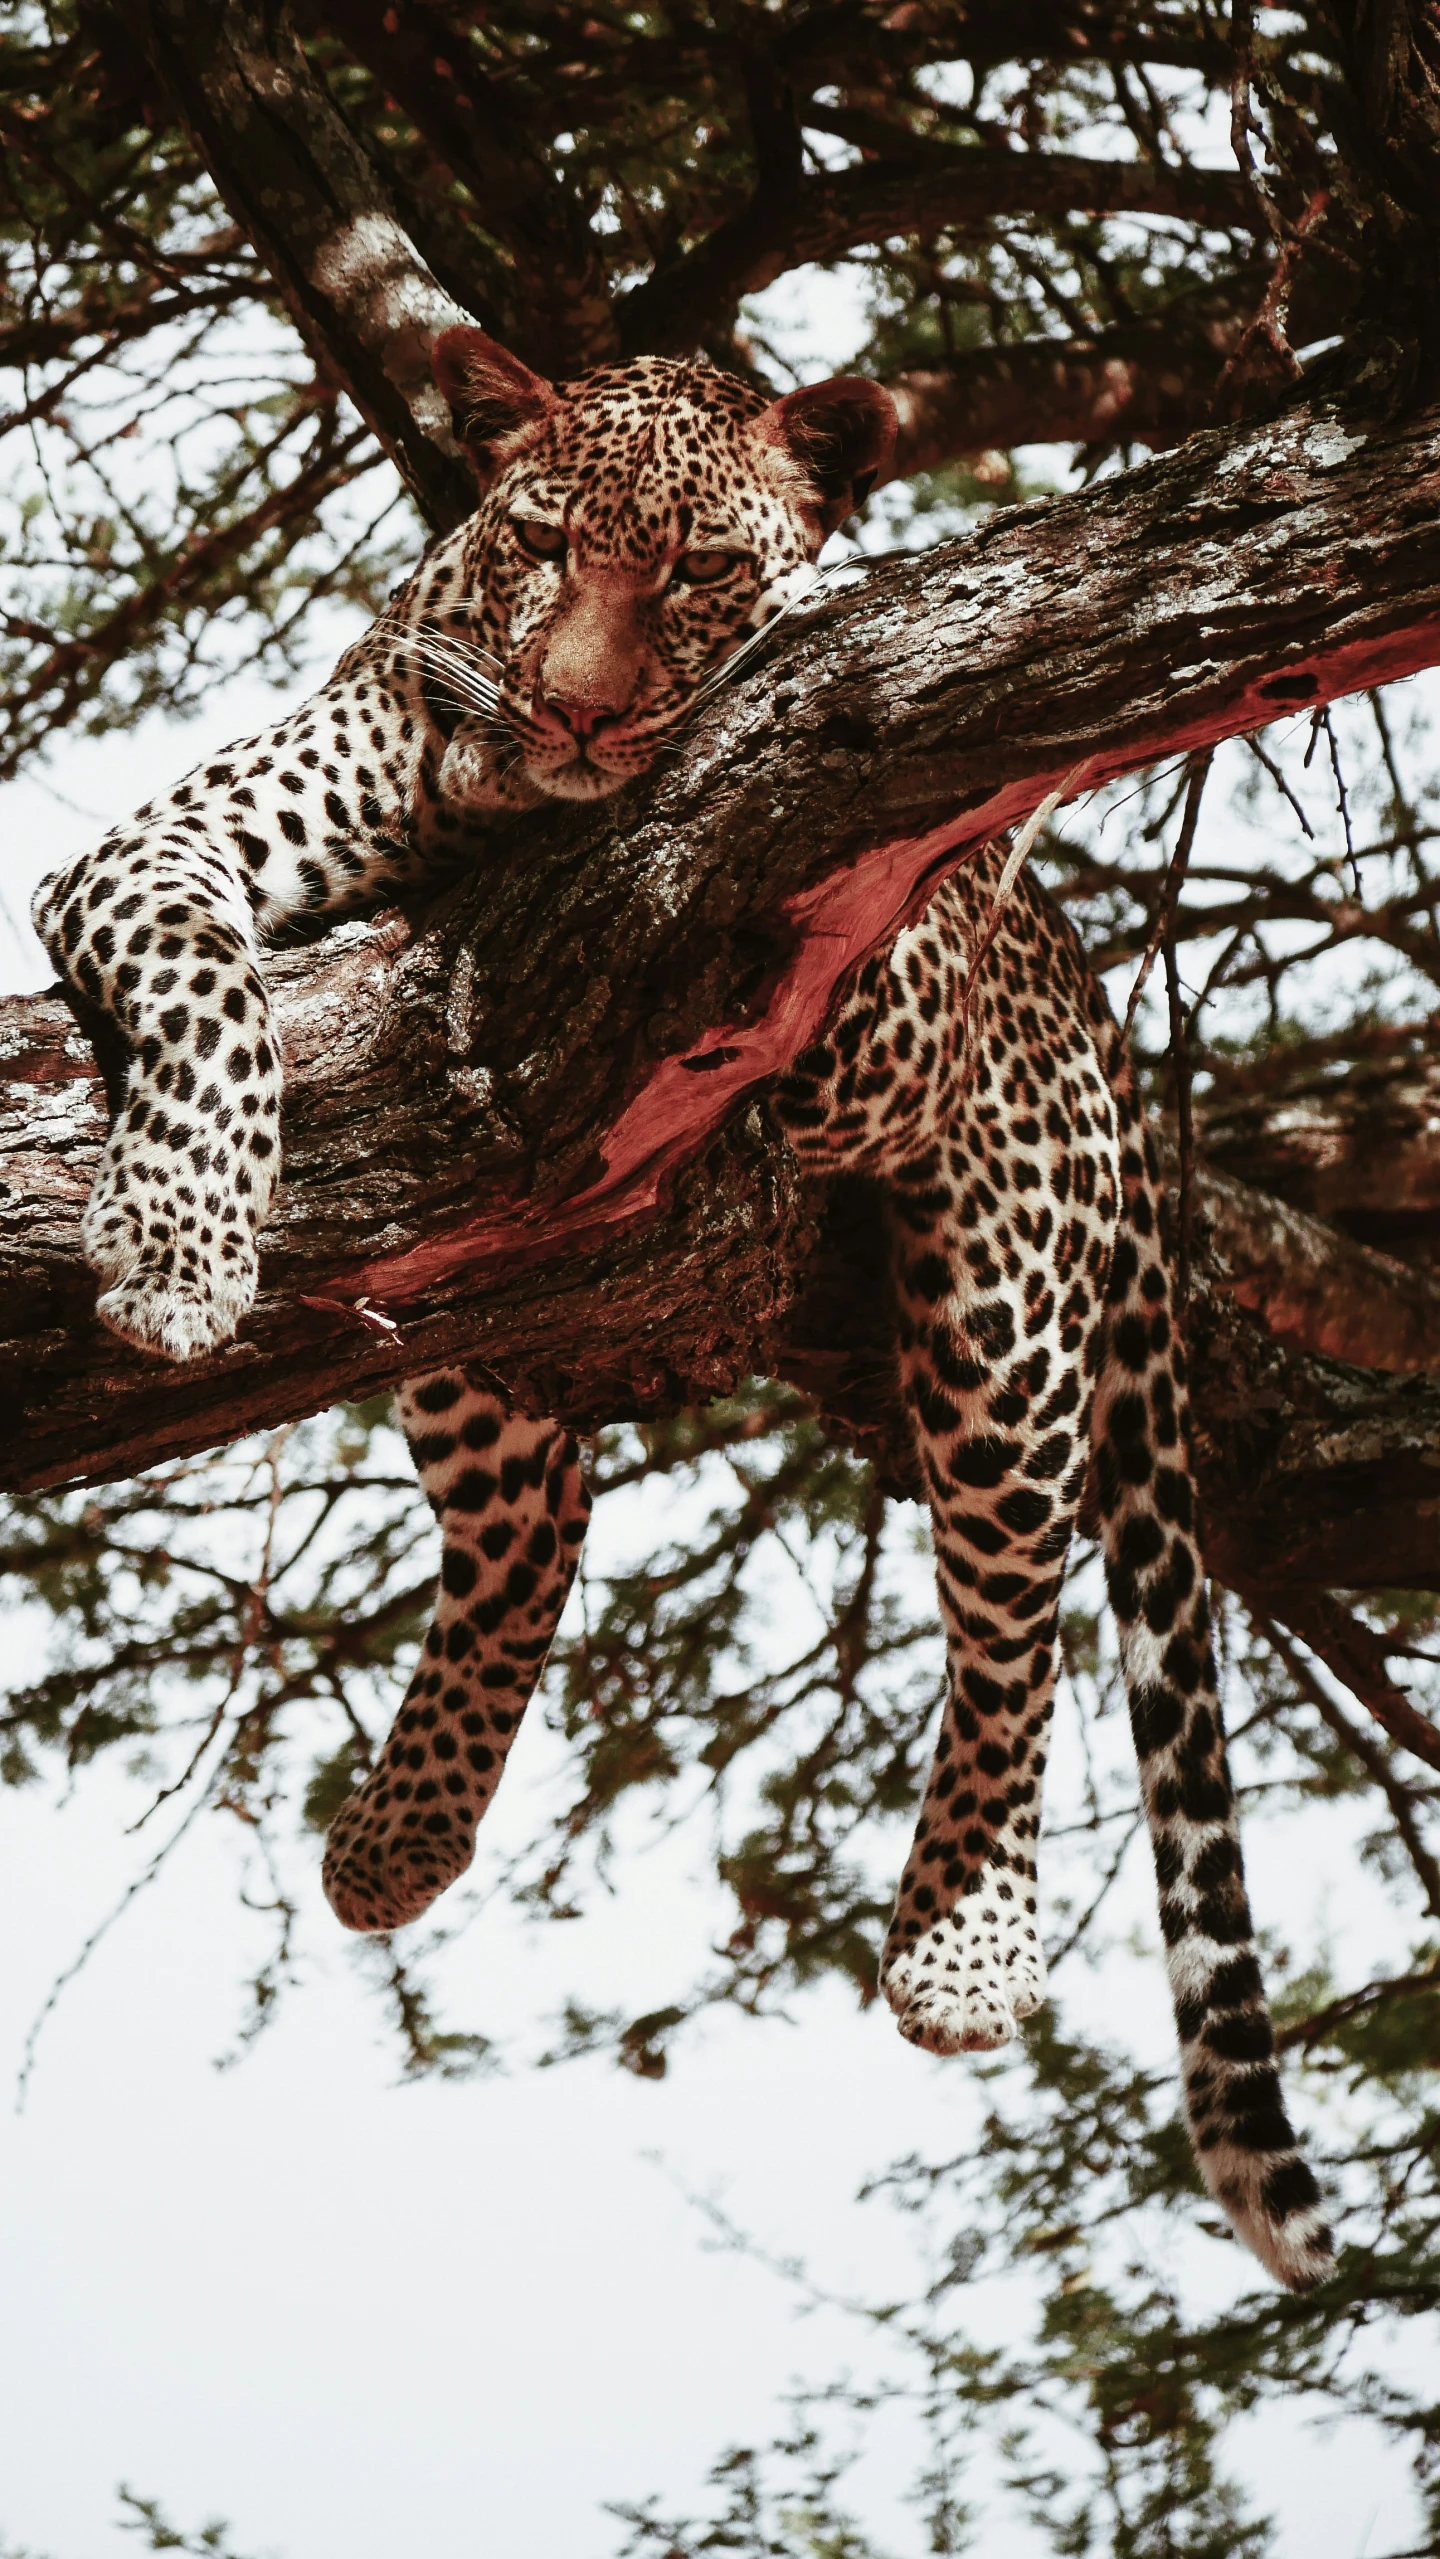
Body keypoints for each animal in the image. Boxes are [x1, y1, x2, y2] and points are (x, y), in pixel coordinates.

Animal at [33, 324, 1340, 2303]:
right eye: (542, 543)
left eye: (700, 573)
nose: (572, 717)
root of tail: (1098, 1004)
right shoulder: (159, 844)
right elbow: (198, 975)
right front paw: (180, 1244)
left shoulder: (871, 1000)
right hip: (480, 1311)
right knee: (537, 1520)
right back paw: (399, 1837)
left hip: (1012, 1272)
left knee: (1013, 1600)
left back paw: (965, 1940)